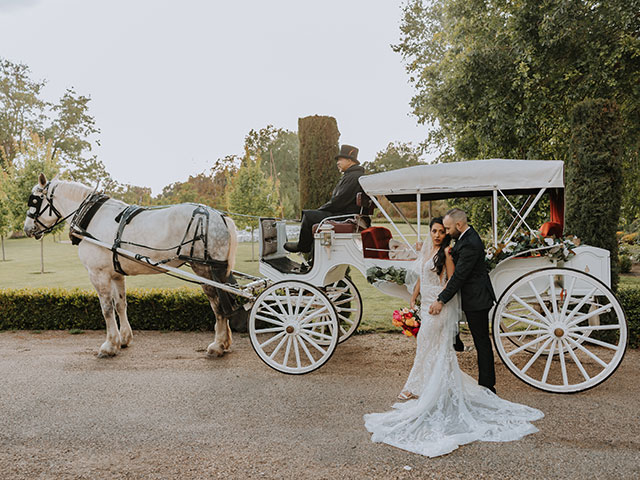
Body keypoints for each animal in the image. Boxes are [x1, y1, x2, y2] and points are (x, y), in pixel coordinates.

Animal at [22, 174, 239, 358]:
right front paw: (124, 339)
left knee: (218, 305)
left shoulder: (98, 274)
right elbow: (120, 304)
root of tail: (220, 216)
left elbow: (106, 309)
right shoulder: (116, 274)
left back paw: (218, 345)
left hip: (204, 270)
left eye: (34, 201)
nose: (27, 228)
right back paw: (225, 342)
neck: (92, 218)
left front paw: (110, 345)